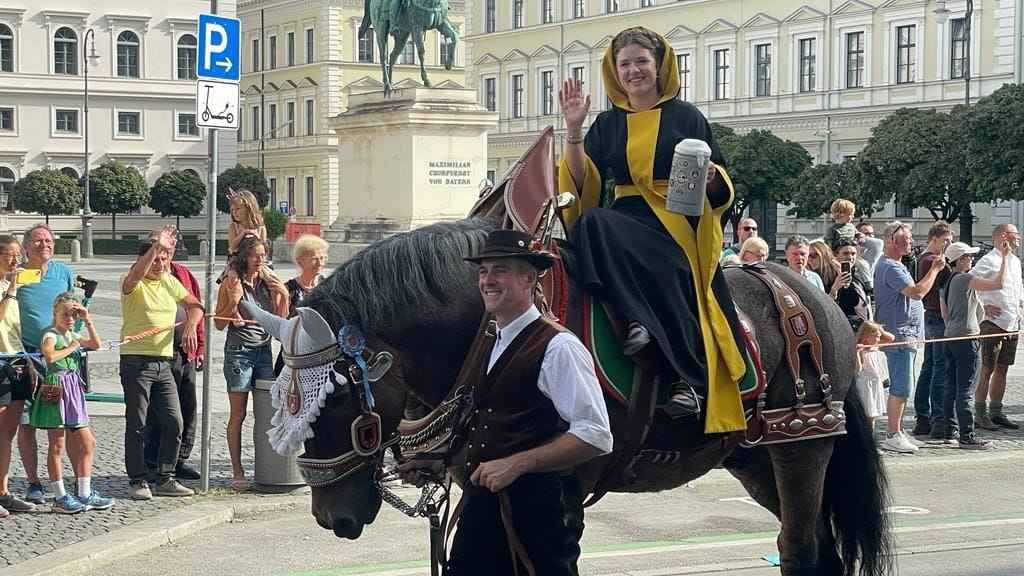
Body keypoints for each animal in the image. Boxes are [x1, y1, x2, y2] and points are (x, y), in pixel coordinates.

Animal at [268, 217, 892, 569]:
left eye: (338, 398)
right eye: (285, 401)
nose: (330, 516)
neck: (488, 331)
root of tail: (808, 294)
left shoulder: (563, 490)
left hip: (801, 449)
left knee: (803, 551)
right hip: (756, 459)